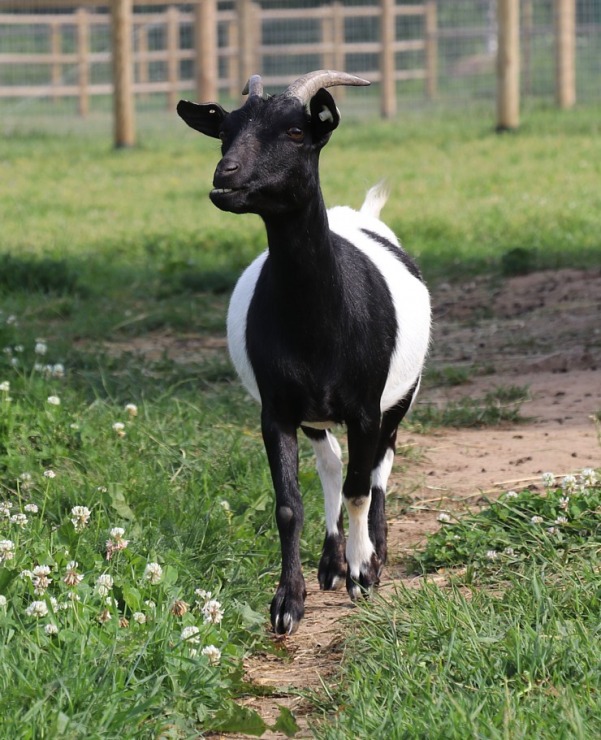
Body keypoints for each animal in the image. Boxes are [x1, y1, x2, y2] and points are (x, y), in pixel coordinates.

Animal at [178, 71, 432, 636]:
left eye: (296, 132)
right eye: (225, 131)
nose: (225, 175)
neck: (319, 324)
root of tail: (360, 214)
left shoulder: (365, 406)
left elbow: (362, 486)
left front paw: (363, 575)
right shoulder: (277, 410)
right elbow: (289, 505)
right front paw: (288, 602)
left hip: (400, 397)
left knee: (379, 466)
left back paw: (372, 555)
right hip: (315, 415)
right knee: (332, 464)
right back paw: (330, 563)